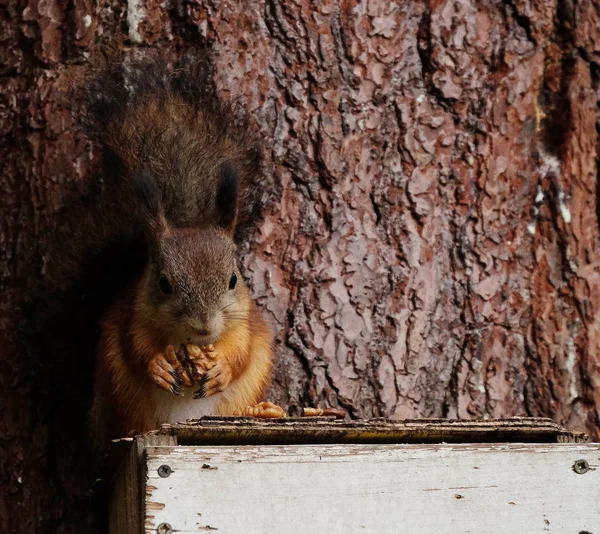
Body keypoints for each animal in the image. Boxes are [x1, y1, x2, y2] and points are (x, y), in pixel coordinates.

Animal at [54, 54, 278, 450]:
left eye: (233, 279)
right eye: (163, 282)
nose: (204, 326)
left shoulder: (246, 319)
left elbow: (242, 349)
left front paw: (221, 367)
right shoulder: (133, 313)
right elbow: (135, 345)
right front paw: (157, 364)